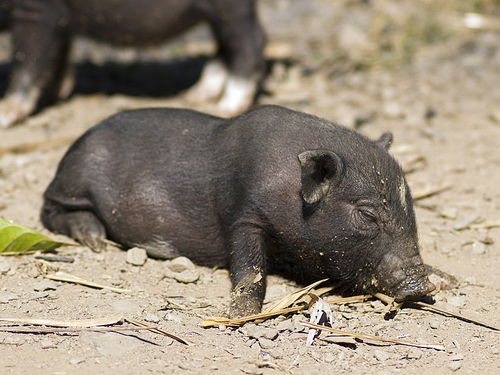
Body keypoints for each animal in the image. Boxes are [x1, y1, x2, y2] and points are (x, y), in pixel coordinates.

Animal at [0, 0, 266, 128]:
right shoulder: (60, 22)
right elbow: (57, 55)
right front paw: (56, 96)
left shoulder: (37, 11)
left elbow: (28, 58)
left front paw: (5, 116)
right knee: (227, 45)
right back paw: (196, 96)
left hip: (231, 8)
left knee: (251, 41)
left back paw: (226, 107)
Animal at [41, 105, 436, 318]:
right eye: (367, 215)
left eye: (410, 204)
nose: (422, 283)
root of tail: (82, 137)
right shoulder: (243, 213)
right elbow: (250, 267)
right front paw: (241, 314)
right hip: (73, 177)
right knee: (49, 210)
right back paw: (94, 239)